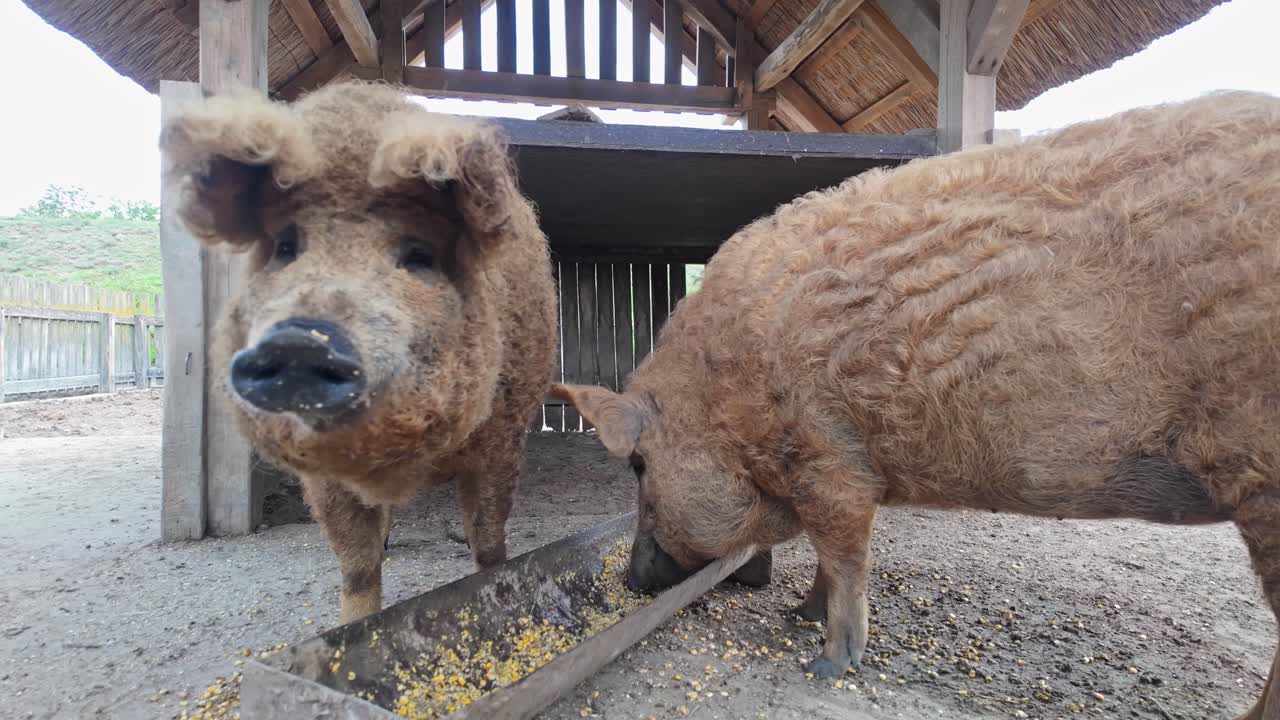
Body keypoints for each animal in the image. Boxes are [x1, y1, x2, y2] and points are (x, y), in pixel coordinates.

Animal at [159, 80, 557, 624]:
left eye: (418, 255)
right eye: (286, 247)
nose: (300, 339)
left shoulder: (503, 434)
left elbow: (488, 538)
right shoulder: (322, 477)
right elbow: (357, 563)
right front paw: (359, 627)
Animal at [553, 90, 1280, 718]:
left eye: (639, 466)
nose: (630, 580)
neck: (730, 398)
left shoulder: (831, 462)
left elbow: (844, 558)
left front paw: (826, 663)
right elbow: (825, 559)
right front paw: (797, 615)